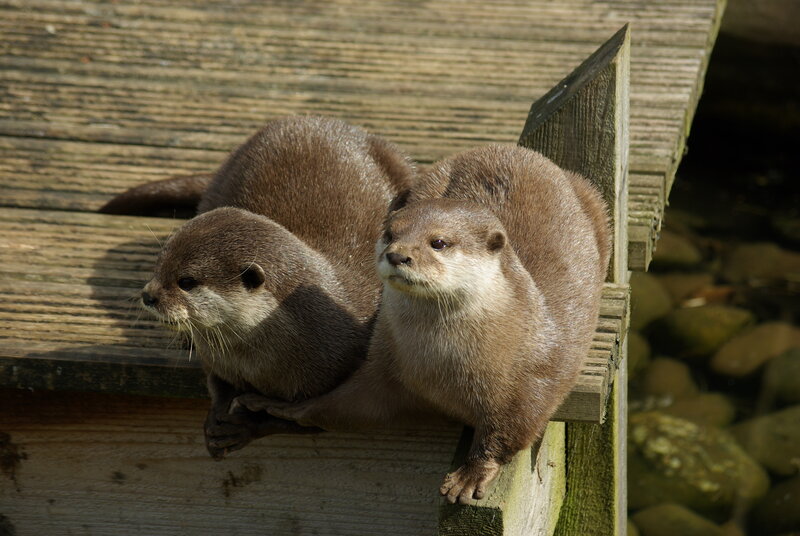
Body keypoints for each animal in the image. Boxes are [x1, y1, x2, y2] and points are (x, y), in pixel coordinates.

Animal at [101, 116, 415, 459]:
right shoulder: (217, 358)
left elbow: (308, 420)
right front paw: (216, 416)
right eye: (159, 263)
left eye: (186, 281)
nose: (148, 295)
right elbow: (216, 383)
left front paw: (243, 427)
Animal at [234, 144, 610, 504]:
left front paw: (471, 474)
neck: (440, 368)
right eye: (389, 234)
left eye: (438, 242)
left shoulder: (529, 378)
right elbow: (343, 406)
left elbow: (509, 429)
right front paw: (282, 407)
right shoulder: (384, 368)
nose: (398, 255)